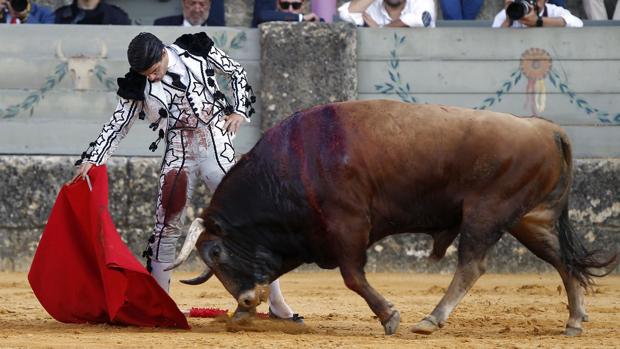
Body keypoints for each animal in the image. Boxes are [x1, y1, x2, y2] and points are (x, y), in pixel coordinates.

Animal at [166, 98, 616, 334]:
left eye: (217, 255)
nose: (243, 299)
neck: (293, 166)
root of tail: (545, 129)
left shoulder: (348, 225)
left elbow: (352, 276)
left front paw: (390, 316)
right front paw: (242, 315)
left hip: (486, 212)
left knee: (473, 265)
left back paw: (431, 319)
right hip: (530, 219)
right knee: (562, 260)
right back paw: (575, 320)